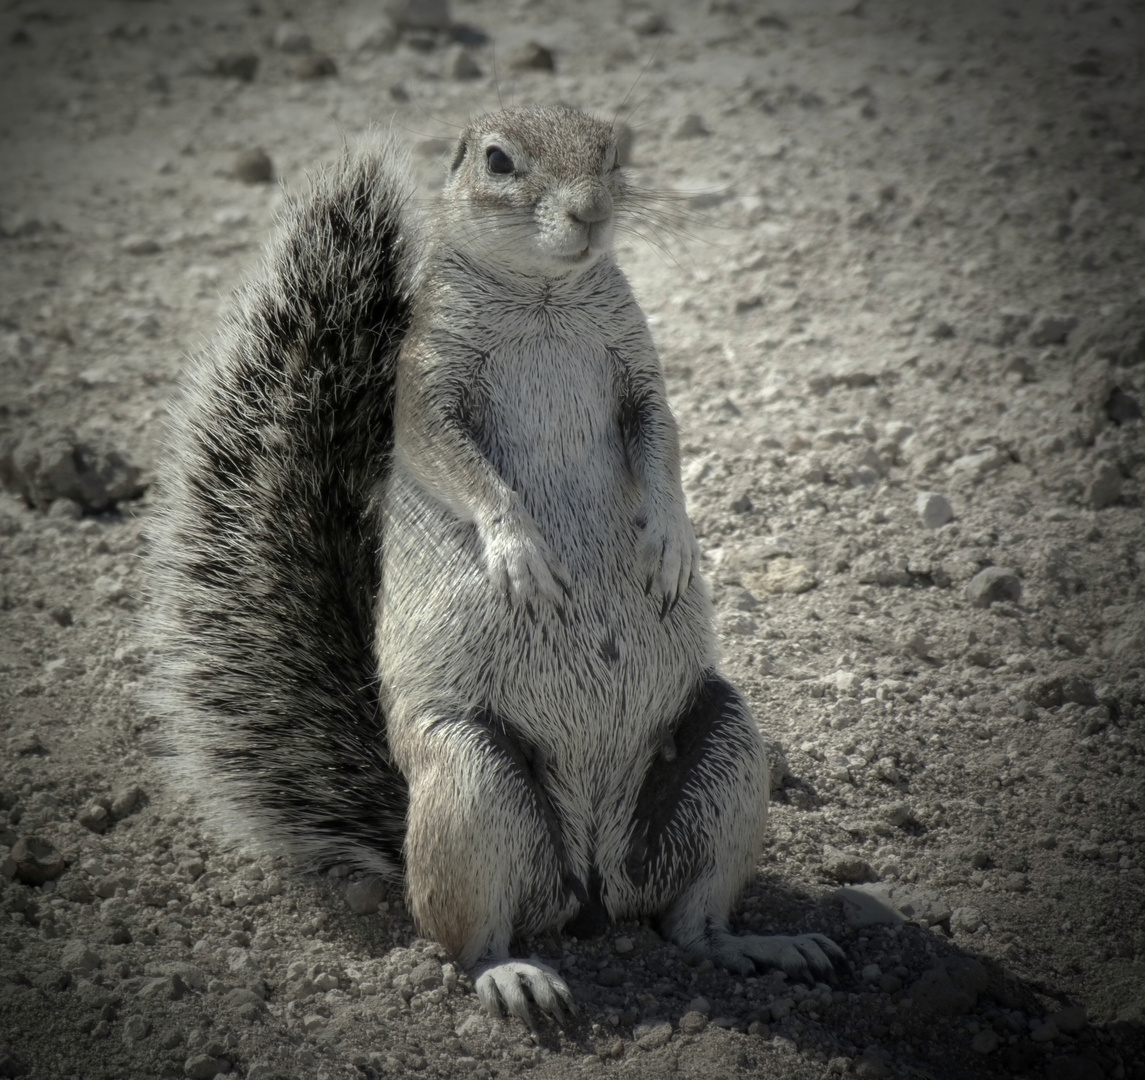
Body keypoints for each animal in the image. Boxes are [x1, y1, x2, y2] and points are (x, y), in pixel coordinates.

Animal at [149, 107, 851, 1021]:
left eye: (611, 149)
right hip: (469, 781)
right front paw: (519, 552)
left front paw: (669, 543)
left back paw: (761, 945)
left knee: (688, 924)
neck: (544, 296)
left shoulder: (640, 371)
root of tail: (589, 889)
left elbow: (662, 441)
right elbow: (461, 465)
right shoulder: (426, 388)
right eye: (497, 160)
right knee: (463, 933)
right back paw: (512, 973)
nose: (591, 212)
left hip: (726, 752)